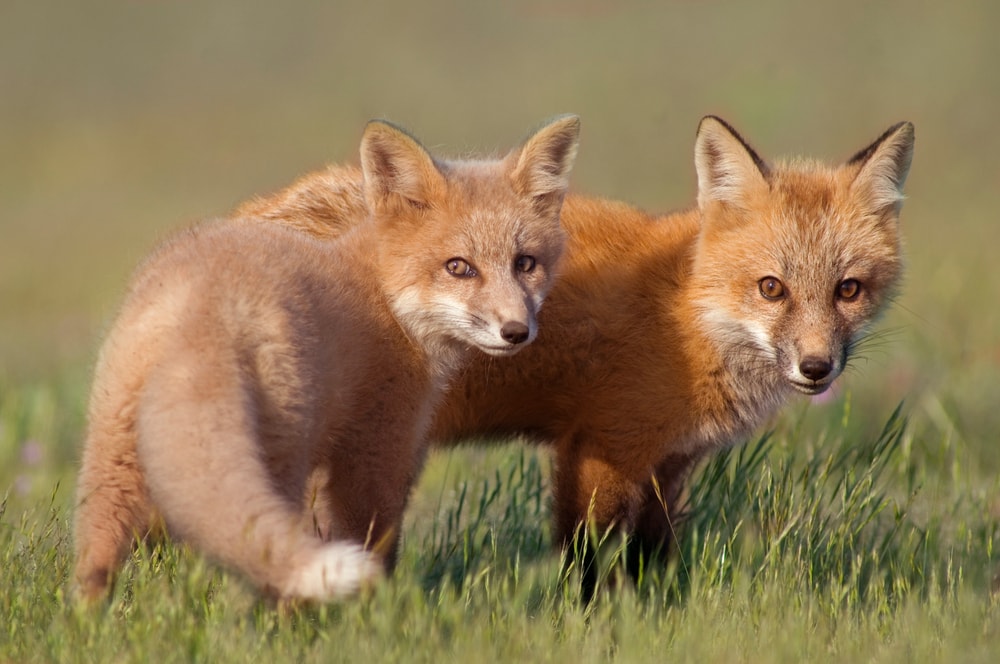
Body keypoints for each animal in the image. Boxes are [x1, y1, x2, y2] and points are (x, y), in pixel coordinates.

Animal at [72, 115, 581, 602]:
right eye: (459, 267)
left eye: (525, 263)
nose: (515, 331)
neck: (380, 290)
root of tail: (201, 310)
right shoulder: (377, 447)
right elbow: (374, 543)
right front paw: (378, 611)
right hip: (281, 453)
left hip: (110, 460)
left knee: (97, 559)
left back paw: (89, 620)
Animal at [235, 116, 915, 580]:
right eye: (771, 288)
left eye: (848, 290)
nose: (816, 367)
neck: (688, 315)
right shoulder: (599, 448)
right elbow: (587, 562)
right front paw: (591, 626)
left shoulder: (669, 465)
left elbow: (651, 563)